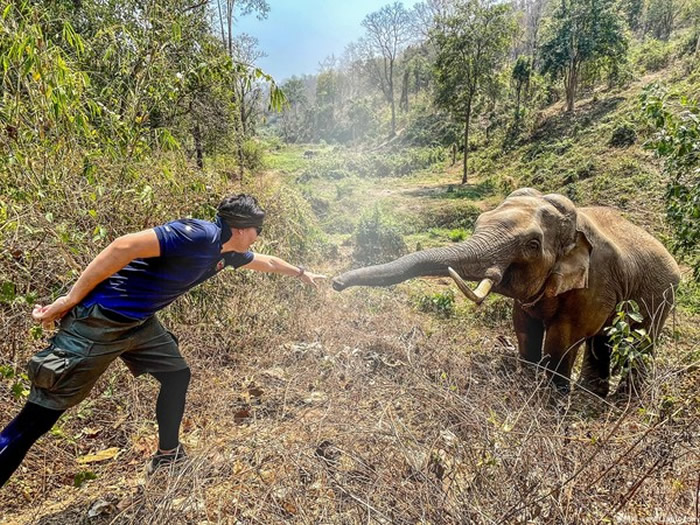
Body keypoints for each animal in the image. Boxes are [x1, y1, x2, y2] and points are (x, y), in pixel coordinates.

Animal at [330, 186, 680, 396]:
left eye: (533, 244)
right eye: (478, 222)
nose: (335, 283)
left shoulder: (595, 282)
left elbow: (563, 338)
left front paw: (551, 403)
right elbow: (524, 327)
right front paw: (527, 385)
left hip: (662, 294)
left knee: (641, 342)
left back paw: (621, 400)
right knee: (603, 341)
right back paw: (593, 395)